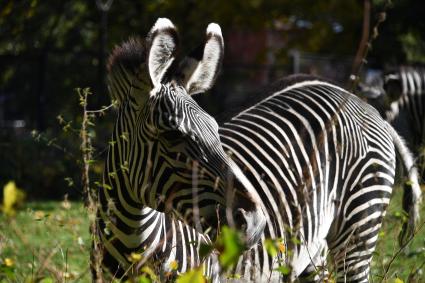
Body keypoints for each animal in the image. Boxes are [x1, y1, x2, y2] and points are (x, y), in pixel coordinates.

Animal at [98, 18, 420, 282]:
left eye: (216, 130)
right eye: (172, 135)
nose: (254, 224)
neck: (132, 242)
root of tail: (359, 100)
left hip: (358, 231)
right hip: (314, 252)